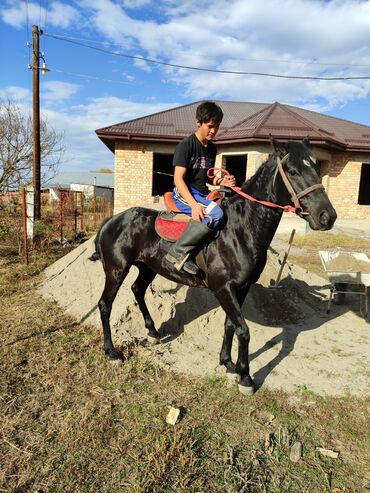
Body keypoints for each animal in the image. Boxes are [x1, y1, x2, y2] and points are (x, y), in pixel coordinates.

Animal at [91, 138, 336, 396]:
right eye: (293, 171)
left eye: (316, 168)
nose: (327, 216)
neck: (241, 229)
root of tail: (112, 220)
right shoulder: (223, 288)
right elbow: (243, 330)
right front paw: (245, 378)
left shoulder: (242, 288)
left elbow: (231, 325)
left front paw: (227, 363)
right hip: (116, 270)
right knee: (105, 305)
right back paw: (112, 352)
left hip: (147, 268)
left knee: (137, 290)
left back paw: (153, 332)